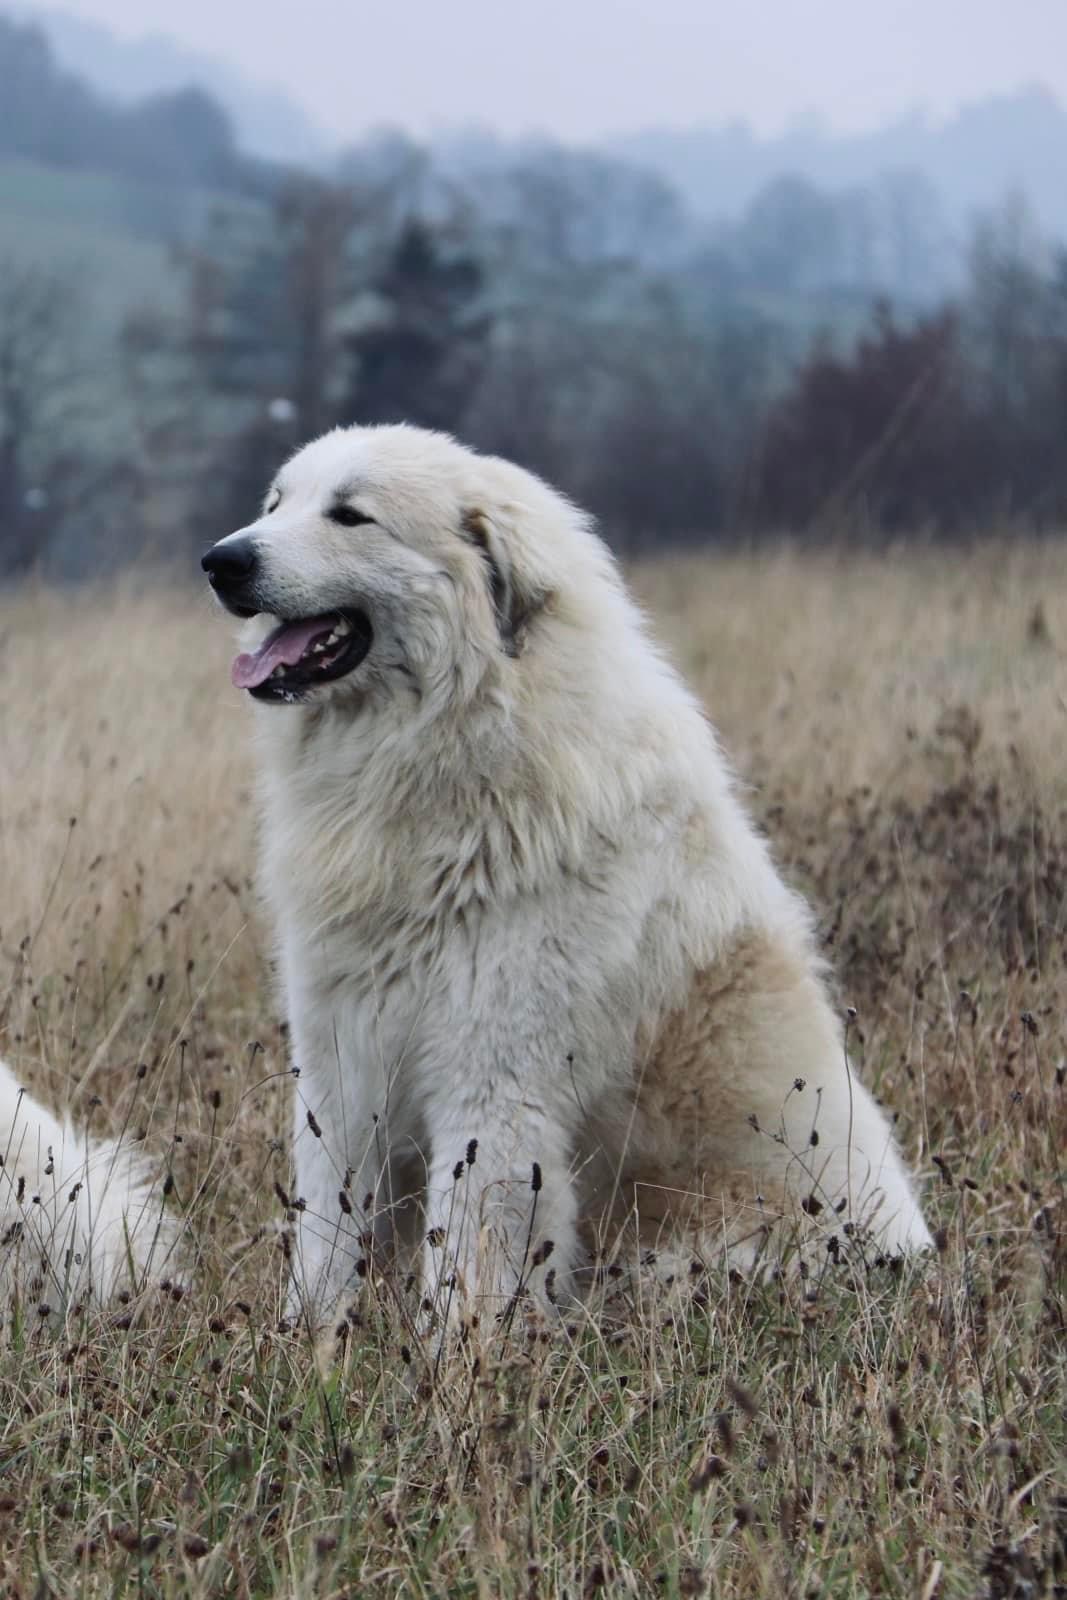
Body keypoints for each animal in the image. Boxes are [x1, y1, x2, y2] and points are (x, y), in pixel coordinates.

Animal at [202, 422, 934, 1324]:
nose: (220, 561)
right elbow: (325, 1238)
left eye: (349, 515)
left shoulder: (493, 1084)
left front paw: (449, 1361)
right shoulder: (341, 1063)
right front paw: (312, 1343)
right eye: (276, 504)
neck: (456, 744)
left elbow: (465, 1262)